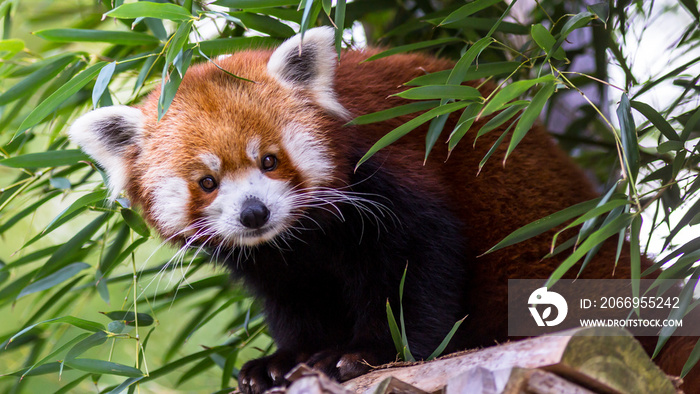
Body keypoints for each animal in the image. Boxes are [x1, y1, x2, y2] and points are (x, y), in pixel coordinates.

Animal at [68, 26, 696, 392]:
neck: (302, 236)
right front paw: (283, 361)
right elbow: (295, 300)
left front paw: (365, 354)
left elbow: (417, 266)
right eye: (207, 181)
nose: (253, 214)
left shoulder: (392, 173)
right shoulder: (277, 261)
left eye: (269, 160)